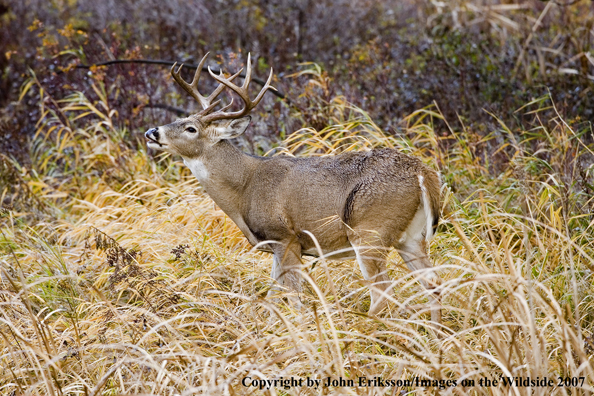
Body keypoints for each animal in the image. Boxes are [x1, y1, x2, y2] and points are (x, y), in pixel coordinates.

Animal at [143, 53, 440, 322]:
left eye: (190, 128)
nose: (151, 132)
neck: (244, 188)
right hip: (410, 236)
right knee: (433, 284)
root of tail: (424, 174)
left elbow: (293, 296)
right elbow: (273, 295)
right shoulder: (276, 245)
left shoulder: (286, 237)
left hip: (370, 231)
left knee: (383, 292)